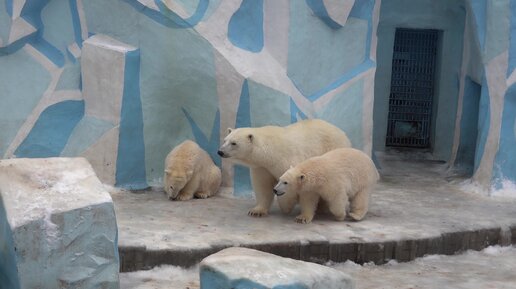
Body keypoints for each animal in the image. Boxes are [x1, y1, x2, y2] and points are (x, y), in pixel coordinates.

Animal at [216, 118, 352, 216]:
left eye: (234, 143)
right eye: (225, 140)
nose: (220, 152)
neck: (270, 152)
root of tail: (343, 133)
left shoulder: (287, 160)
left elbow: (296, 184)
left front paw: (287, 206)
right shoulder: (262, 167)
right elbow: (263, 186)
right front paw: (256, 211)